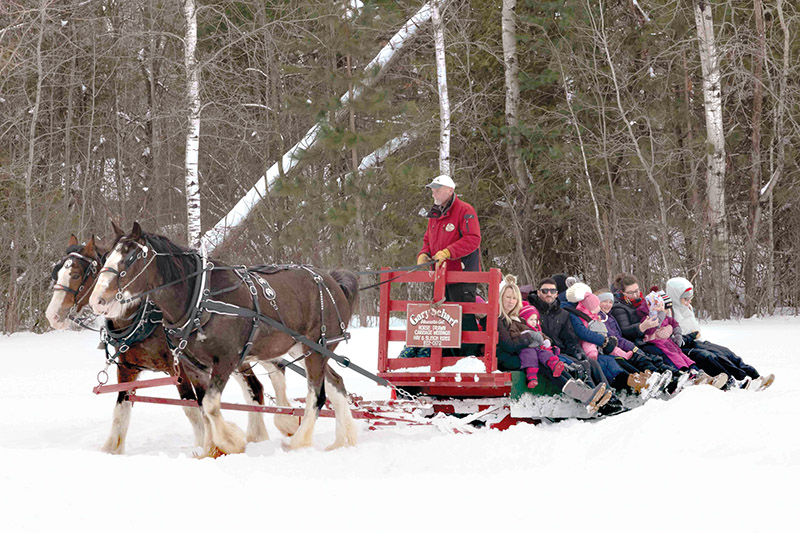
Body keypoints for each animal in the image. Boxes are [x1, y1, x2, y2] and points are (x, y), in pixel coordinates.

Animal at [47, 232, 302, 454]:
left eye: (77, 274)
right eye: (55, 273)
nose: (53, 316)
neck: (143, 317)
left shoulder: (178, 369)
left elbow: (193, 408)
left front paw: (206, 445)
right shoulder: (128, 368)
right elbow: (121, 410)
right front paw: (111, 450)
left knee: (261, 382)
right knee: (269, 376)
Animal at [88, 222, 360, 456]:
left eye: (131, 258)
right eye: (106, 257)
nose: (97, 301)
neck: (199, 300)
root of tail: (333, 281)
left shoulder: (225, 361)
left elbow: (209, 405)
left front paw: (231, 442)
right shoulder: (192, 366)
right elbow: (202, 407)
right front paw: (209, 450)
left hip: (317, 348)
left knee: (317, 396)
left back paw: (297, 441)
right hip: (302, 349)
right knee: (336, 384)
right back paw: (343, 441)